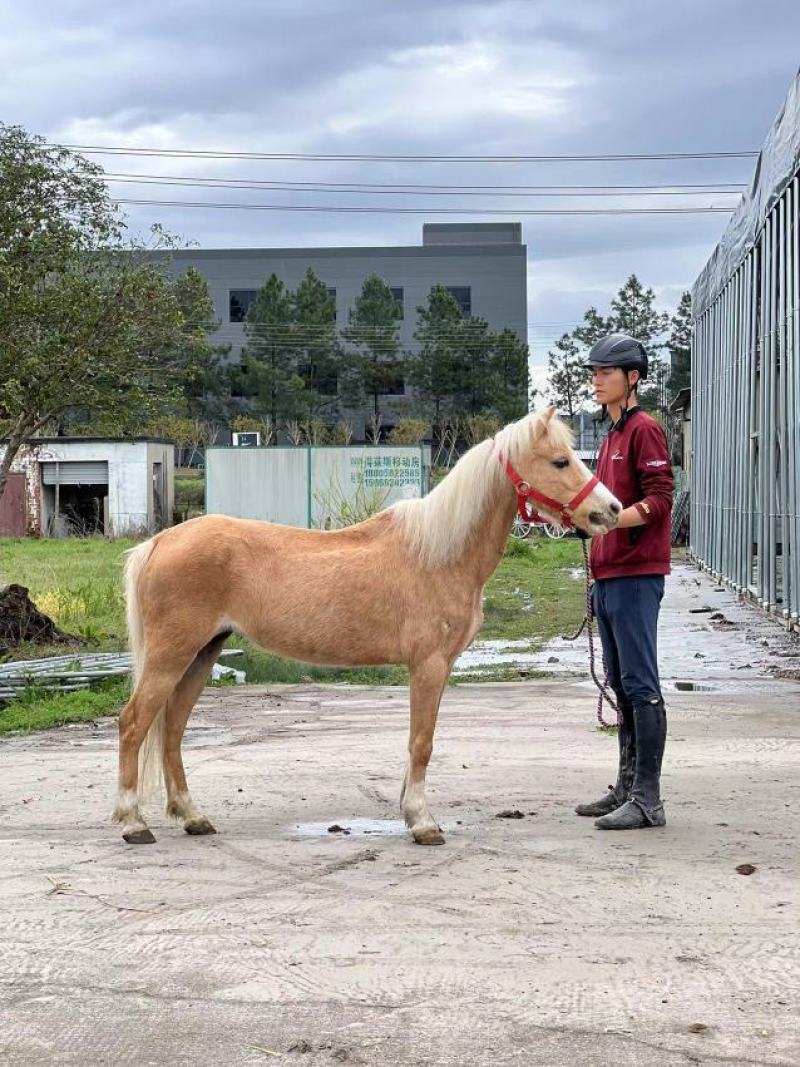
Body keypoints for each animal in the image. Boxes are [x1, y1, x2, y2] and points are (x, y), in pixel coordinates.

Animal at [112, 407, 620, 847]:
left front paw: (410, 813)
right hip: (171, 655)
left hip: (202, 653)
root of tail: (158, 543)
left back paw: (192, 817)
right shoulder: (429, 665)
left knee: (172, 730)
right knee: (134, 724)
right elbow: (422, 742)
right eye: (560, 460)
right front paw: (422, 822)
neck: (439, 553)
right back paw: (134, 823)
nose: (611, 510)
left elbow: (418, 741)